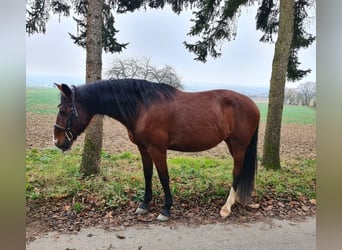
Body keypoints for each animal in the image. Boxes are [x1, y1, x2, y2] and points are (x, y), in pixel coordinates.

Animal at [54, 78, 260, 221]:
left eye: (64, 111)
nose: (57, 141)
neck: (142, 107)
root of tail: (253, 105)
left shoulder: (158, 150)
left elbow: (163, 177)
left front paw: (166, 209)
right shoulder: (144, 149)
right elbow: (147, 174)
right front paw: (144, 204)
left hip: (239, 146)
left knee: (236, 172)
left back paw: (226, 207)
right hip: (232, 145)